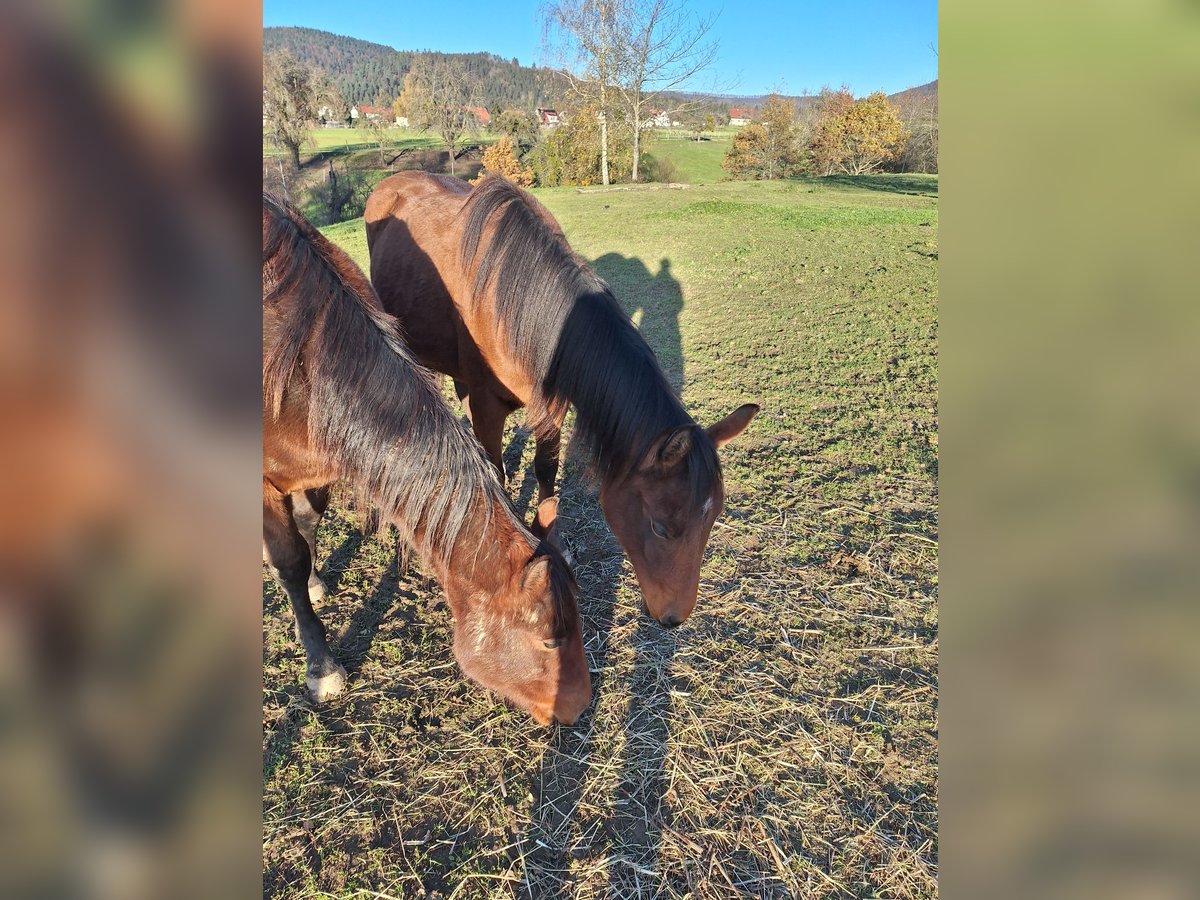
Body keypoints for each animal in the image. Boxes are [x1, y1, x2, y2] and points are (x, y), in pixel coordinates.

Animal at [262, 192, 590, 724]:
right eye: (549, 641)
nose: (579, 707)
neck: (300, 364)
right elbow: (288, 560)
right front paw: (322, 667)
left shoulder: (324, 460)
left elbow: (309, 522)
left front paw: (313, 583)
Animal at [364, 174, 758, 628]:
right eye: (660, 527)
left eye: (712, 520)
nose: (673, 618)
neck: (516, 303)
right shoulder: (488, 406)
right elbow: (496, 475)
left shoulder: (550, 405)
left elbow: (546, 472)